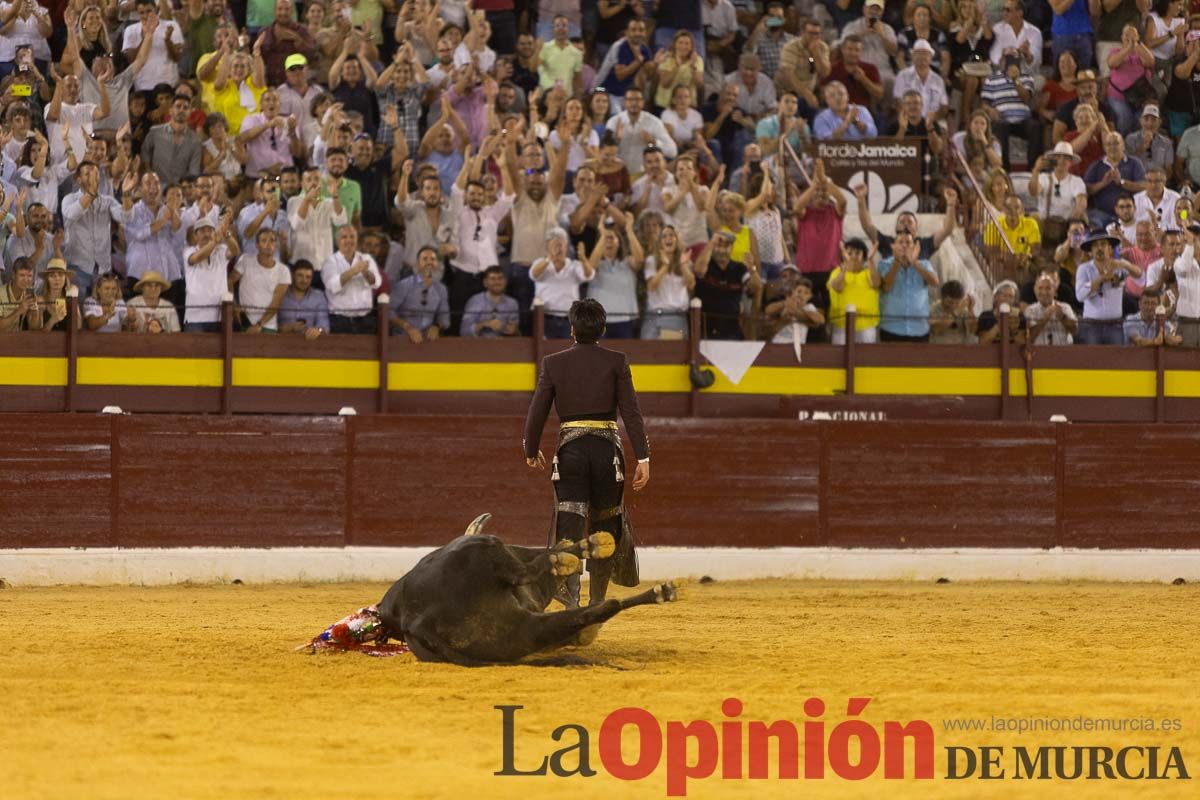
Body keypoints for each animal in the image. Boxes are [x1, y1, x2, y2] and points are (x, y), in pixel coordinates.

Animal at [376, 515, 676, 666]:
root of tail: (416, 622)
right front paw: (578, 551)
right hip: (487, 549)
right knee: (529, 572)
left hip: (519, 634)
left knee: (593, 611)